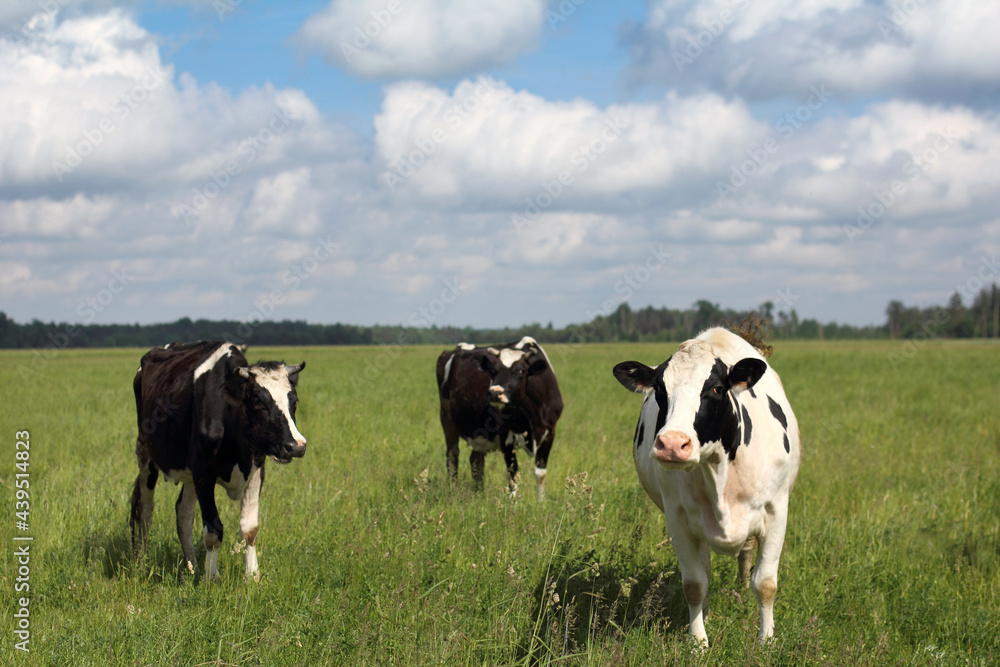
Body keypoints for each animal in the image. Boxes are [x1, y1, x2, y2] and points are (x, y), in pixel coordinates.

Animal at [131, 342, 306, 580]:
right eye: (258, 402)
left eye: (294, 402)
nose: (296, 446)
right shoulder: (203, 473)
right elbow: (213, 530)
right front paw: (211, 578)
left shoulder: (256, 470)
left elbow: (250, 528)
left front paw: (252, 576)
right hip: (145, 456)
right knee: (145, 511)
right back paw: (141, 562)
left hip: (188, 474)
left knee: (183, 514)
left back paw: (192, 567)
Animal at [436, 336, 564, 498]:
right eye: (493, 370)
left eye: (521, 370)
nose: (495, 392)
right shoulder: (505, 437)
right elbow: (513, 476)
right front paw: (513, 504)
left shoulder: (550, 432)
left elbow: (540, 473)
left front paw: (541, 502)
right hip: (446, 418)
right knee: (452, 456)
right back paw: (453, 489)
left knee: (476, 460)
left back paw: (480, 493)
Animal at [608, 328, 796, 648]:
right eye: (660, 390)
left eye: (717, 389)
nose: (672, 444)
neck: (718, 472)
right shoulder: (678, 519)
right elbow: (695, 584)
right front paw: (697, 641)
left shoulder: (776, 512)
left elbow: (766, 583)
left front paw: (767, 639)